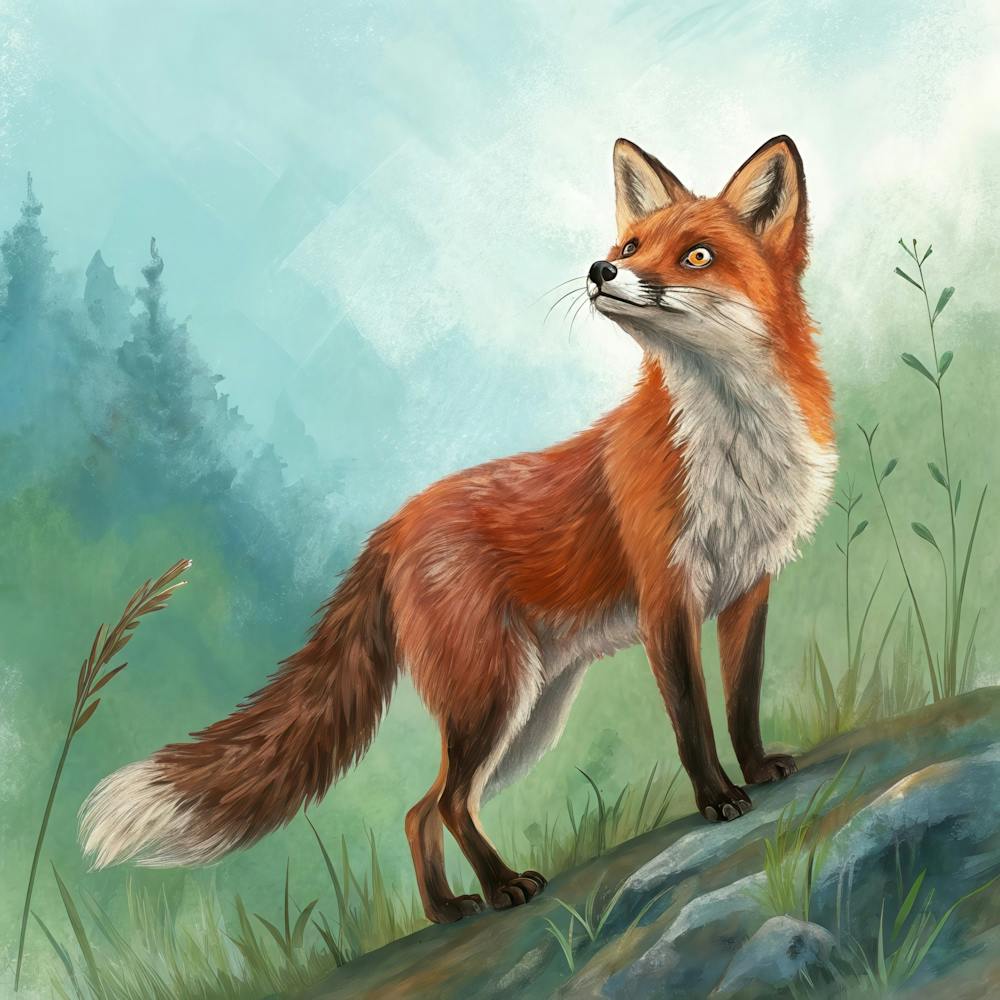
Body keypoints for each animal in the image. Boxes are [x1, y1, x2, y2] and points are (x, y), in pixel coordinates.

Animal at [80, 135, 836, 924]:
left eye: (696, 255)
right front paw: (717, 798)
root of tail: (395, 521)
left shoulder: (749, 584)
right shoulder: (668, 597)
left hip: (528, 714)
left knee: (422, 810)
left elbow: (742, 700)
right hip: (493, 699)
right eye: (629, 246)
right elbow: (693, 722)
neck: (735, 445)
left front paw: (759, 769)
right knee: (445, 803)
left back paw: (447, 906)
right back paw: (503, 888)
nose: (601, 271)